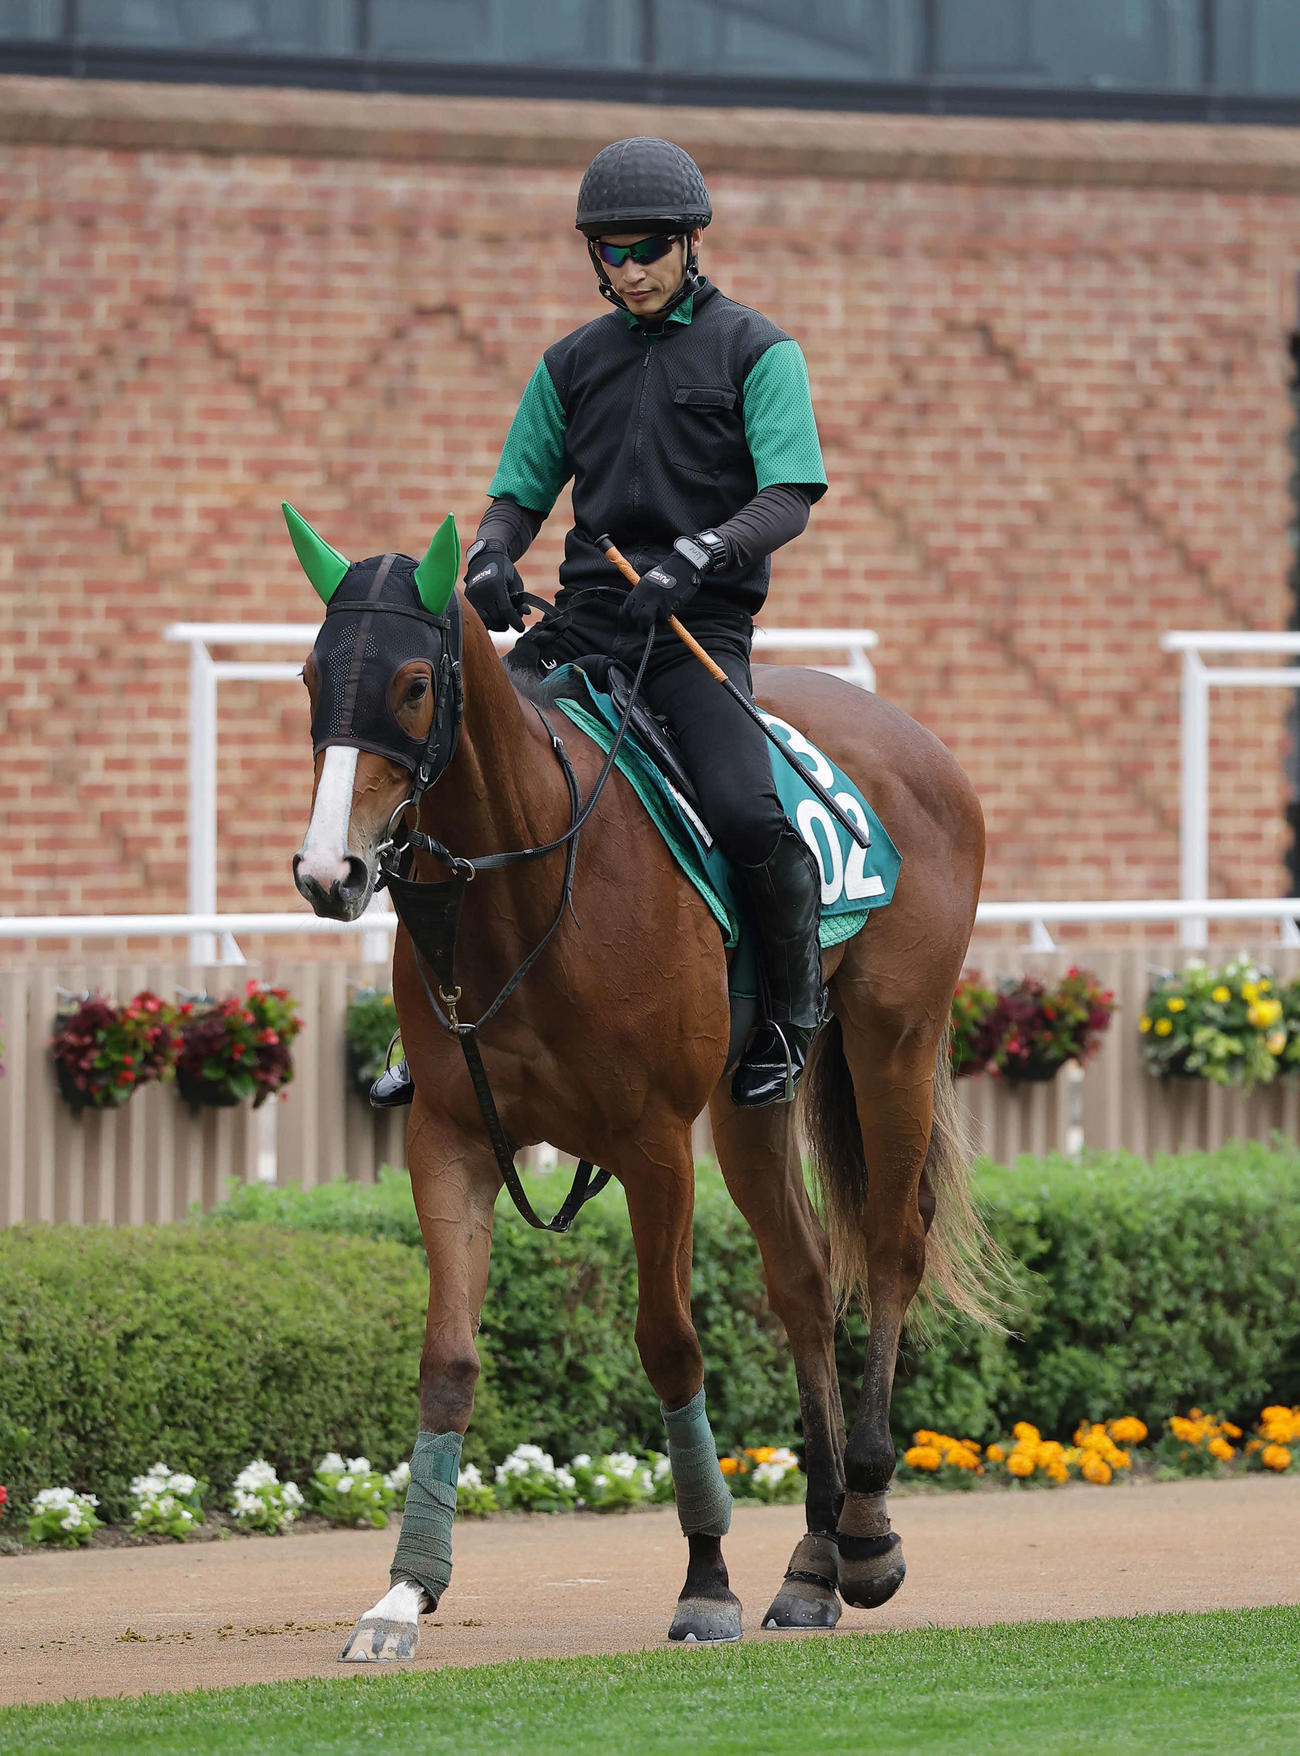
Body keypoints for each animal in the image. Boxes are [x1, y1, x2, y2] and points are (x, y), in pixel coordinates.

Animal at [286, 504, 1005, 1661]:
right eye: (312, 675)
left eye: (412, 683)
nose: (328, 871)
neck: (529, 884)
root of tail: (917, 741)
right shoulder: (449, 1138)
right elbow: (448, 1360)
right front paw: (404, 1593)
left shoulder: (653, 1145)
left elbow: (669, 1347)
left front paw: (705, 1578)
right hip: (753, 1101)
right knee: (803, 1279)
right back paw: (811, 1561)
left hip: (893, 1038)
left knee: (891, 1247)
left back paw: (863, 1530)